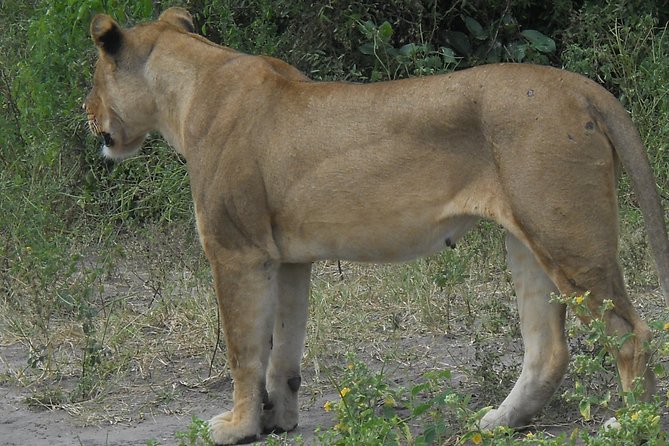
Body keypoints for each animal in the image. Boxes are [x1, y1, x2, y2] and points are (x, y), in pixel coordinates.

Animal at [84, 8, 669, 445]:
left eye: (93, 79)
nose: (86, 114)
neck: (186, 91)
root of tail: (581, 87)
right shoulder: (288, 259)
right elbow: (282, 351)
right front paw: (279, 421)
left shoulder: (236, 250)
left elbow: (243, 351)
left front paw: (236, 427)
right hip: (528, 241)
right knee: (548, 348)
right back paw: (497, 422)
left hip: (567, 237)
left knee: (632, 333)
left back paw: (630, 425)